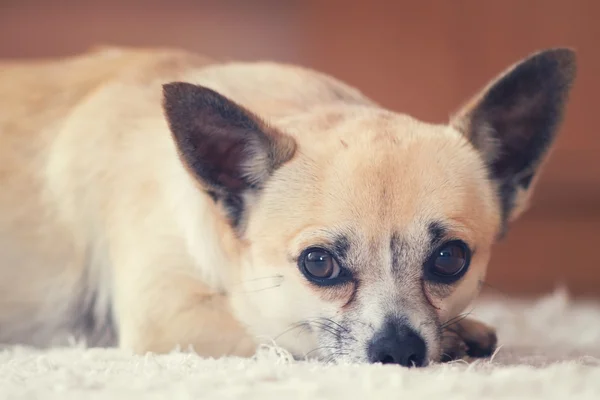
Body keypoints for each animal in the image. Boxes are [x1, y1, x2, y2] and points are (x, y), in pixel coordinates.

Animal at [0, 46, 576, 366]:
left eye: (450, 259)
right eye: (318, 265)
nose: (398, 350)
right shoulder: (167, 318)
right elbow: (287, 332)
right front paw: (458, 338)